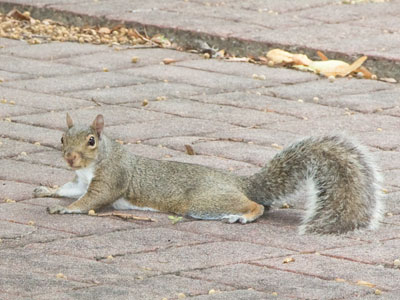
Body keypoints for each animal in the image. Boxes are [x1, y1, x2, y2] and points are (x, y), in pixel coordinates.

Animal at [32, 113, 382, 233]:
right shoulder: (79, 181)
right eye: (62, 138)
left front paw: (64, 210)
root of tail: (240, 182)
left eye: (91, 140)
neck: (89, 168)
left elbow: (89, 201)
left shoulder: (111, 179)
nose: (70, 158)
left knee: (258, 205)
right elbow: (69, 190)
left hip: (204, 201)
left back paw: (242, 216)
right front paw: (47, 190)